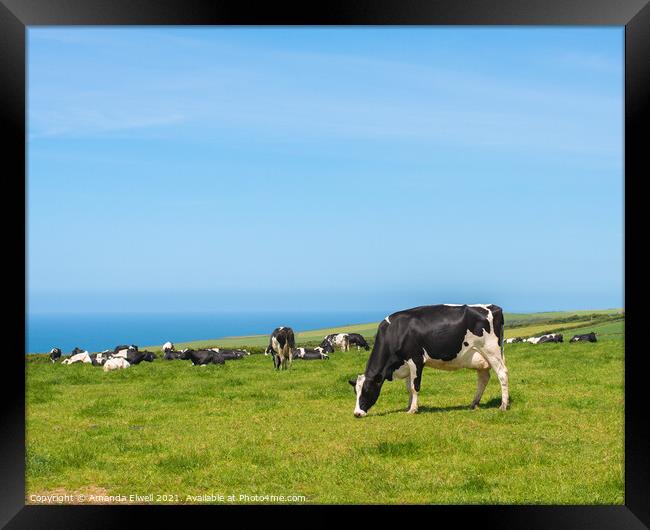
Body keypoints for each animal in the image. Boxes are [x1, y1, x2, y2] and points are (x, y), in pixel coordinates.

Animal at [350, 304, 506, 414]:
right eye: (355, 392)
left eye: (366, 390)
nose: (357, 413)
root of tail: (494, 307)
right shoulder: (406, 364)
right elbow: (409, 387)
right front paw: (409, 406)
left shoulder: (415, 359)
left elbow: (415, 387)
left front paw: (413, 410)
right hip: (480, 357)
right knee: (484, 378)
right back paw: (474, 403)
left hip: (492, 351)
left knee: (502, 374)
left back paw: (503, 405)